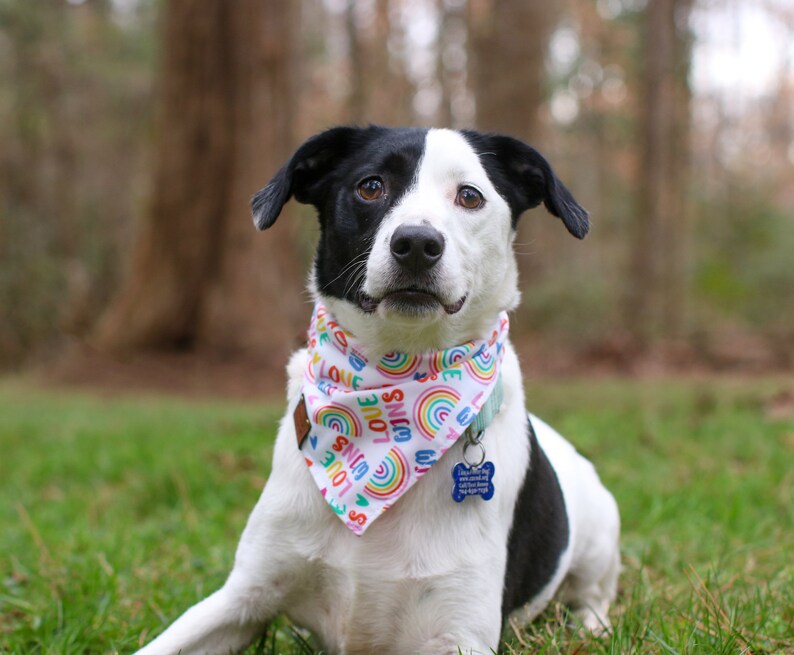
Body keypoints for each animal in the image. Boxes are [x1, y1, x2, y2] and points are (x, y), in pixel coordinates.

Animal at [133, 125, 620, 652]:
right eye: (371, 186)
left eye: (469, 195)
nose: (417, 243)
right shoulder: (244, 596)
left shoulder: (460, 632)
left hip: (600, 533)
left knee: (594, 595)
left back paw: (590, 626)